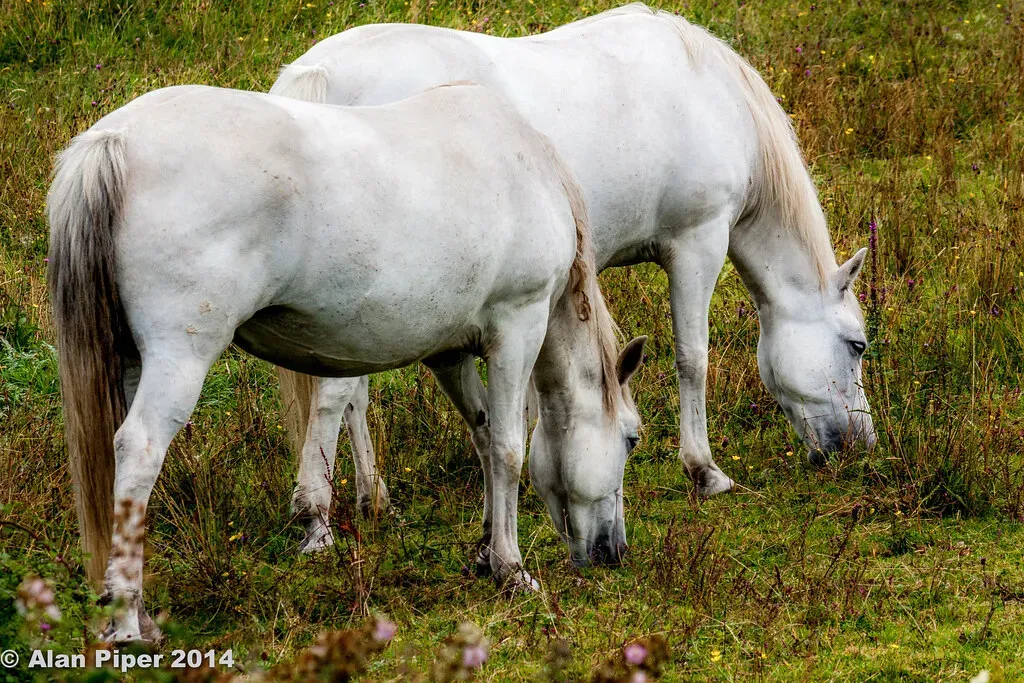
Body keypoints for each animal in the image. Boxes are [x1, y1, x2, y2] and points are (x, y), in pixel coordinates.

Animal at [47, 83, 647, 642]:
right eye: (632, 439)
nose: (613, 551)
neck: (526, 167)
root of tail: (115, 141)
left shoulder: (449, 353)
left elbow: (480, 433)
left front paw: (483, 549)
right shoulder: (517, 329)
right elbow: (507, 449)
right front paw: (510, 569)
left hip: (128, 361)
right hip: (180, 358)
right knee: (139, 450)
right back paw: (128, 621)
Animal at [270, 3, 877, 540]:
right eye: (857, 345)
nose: (862, 443)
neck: (710, 94)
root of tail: (317, 73)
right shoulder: (697, 244)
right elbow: (692, 358)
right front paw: (704, 470)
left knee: (352, 394)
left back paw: (374, 497)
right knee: (337, 397)